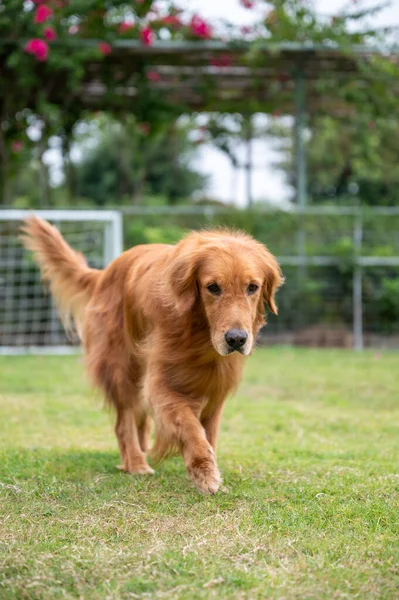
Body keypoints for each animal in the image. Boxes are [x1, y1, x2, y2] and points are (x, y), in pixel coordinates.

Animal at [21, 218, 284, 494]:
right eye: (213, 287)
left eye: (252, 287)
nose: (236, 339)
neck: (198, 336)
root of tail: (105, 272)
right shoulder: (161, 385)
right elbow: (190, 426)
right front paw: (204, 472)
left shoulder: (216, 388)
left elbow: (208, 433)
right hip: (121, 368)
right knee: (123, 422)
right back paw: (136, 463)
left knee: (141, 421)